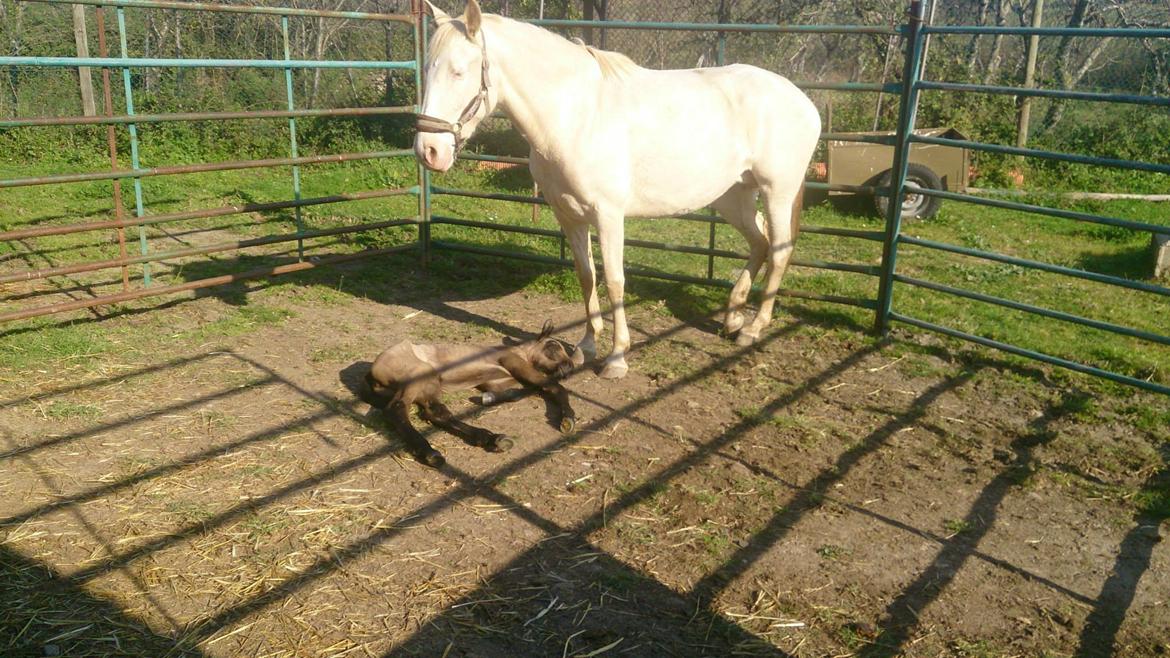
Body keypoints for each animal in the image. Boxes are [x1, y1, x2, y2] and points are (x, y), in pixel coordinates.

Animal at [367, 318, 577, 463]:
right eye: (553, 346)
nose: (569, 367)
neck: (521, 353)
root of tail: (372, 376)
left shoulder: (494, 382)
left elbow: (523, 391)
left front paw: (489, 399)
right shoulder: (513, 363)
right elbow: (553, 386)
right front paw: (568, 418)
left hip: (430, 385)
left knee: (436, 413)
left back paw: (491, 438)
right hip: (420, 375)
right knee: (396, 408)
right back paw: (429, 452)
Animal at [416, 0, 819, 377]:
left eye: (459, 72)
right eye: (429, 69)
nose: (428, 151)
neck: (576, 117)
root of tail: (802, 100)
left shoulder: (609, 216)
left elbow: (614, 280)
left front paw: (617, 357)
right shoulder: (569, 216)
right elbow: (586, 276)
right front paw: (586, 346)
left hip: (777, 192)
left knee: (779, 250)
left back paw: (753, 328)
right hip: (732, 196)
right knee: (759, 242)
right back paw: (733, 319)